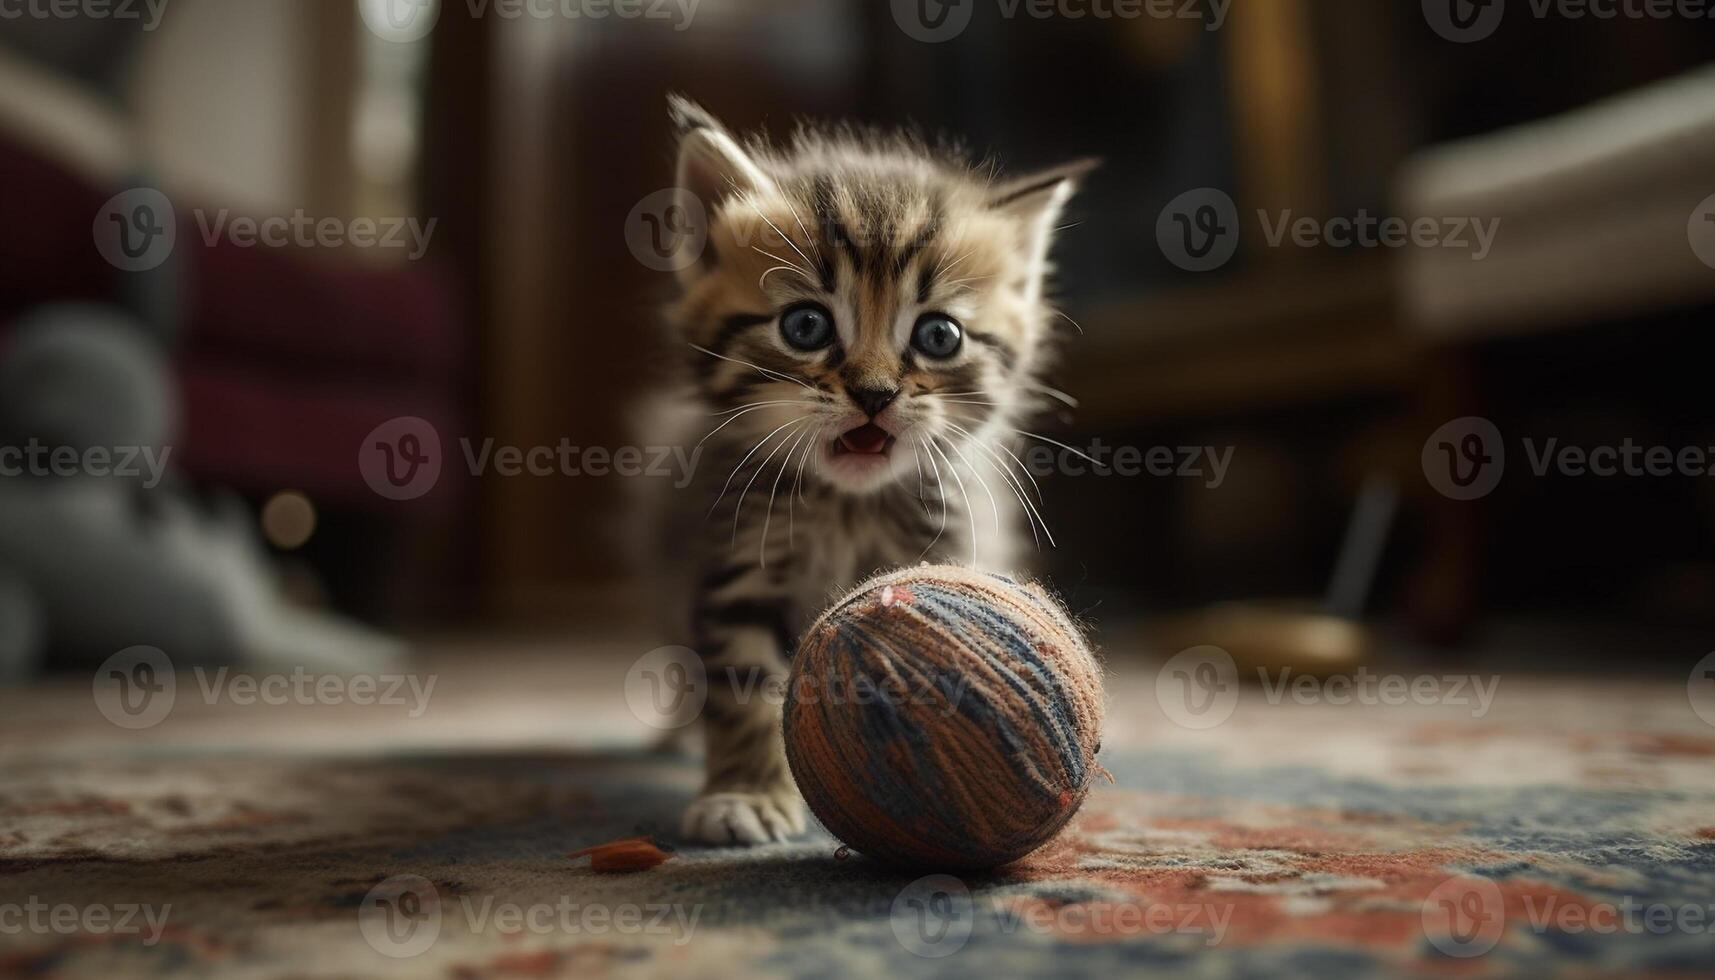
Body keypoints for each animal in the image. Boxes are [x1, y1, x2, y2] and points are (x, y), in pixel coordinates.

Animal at [648, 101, 1090, 851]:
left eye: (939, 336)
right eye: (805, 326)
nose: (875, 394)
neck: (846, 507)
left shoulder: (947, 542)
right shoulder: (736, 561)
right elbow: (740, 683)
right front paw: (744, 794)